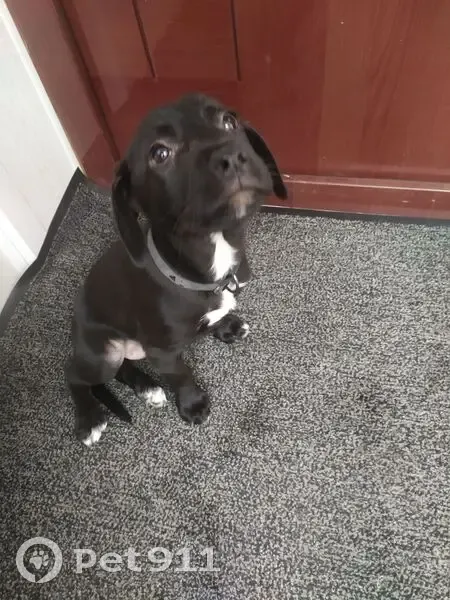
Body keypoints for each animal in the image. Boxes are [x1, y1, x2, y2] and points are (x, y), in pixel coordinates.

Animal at [66, 93, 287, 445]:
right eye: (160, 153)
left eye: (229, 121)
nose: (231, 156)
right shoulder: (162, 352)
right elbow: (182, 374)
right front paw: (193, 404)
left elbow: (213, 319)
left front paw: (225, 325)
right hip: (101, 355)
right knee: (74, 374)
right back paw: (89, 418)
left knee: (123, 367)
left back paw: (148, 389)